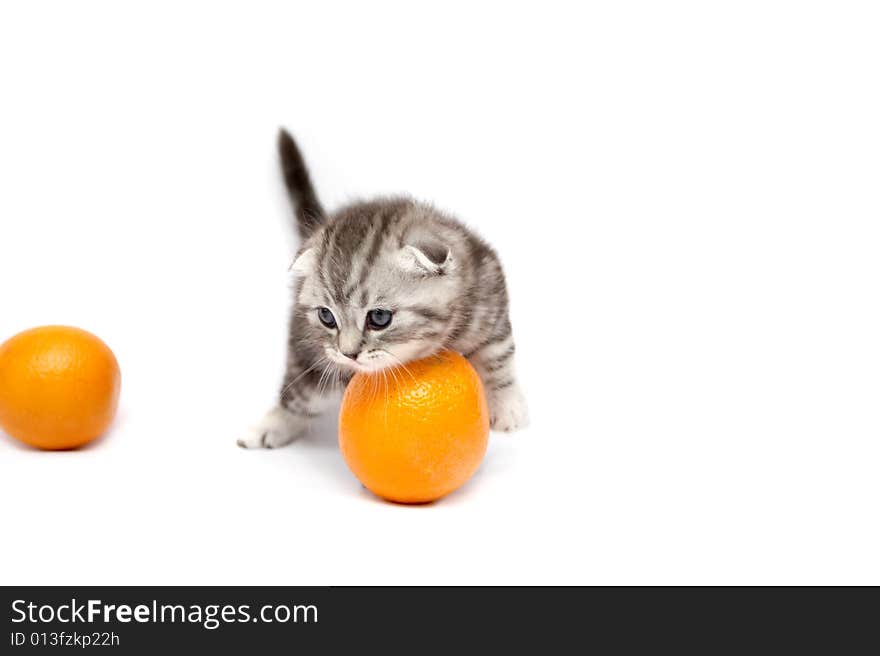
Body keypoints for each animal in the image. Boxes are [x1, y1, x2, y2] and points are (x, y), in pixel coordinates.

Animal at [237, 132, 528, 452]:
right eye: (327, 317)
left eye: (379, 318)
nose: (348, 354)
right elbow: (299, 393)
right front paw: (272, 424)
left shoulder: (489, 291)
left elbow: (498, 352)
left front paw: (506, 405)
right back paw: (269, 426)